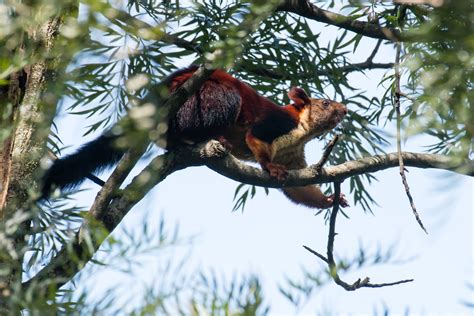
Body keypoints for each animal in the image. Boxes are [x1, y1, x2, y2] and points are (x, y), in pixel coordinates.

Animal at [41, 65, 348, 209]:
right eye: (325, 103)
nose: (344, 109)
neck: (301, 130)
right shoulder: (275, 125)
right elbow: (255, 139)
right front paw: (270, 167)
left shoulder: (292, 155)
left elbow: (298, 189)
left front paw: (329, 200)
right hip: (208, 101)